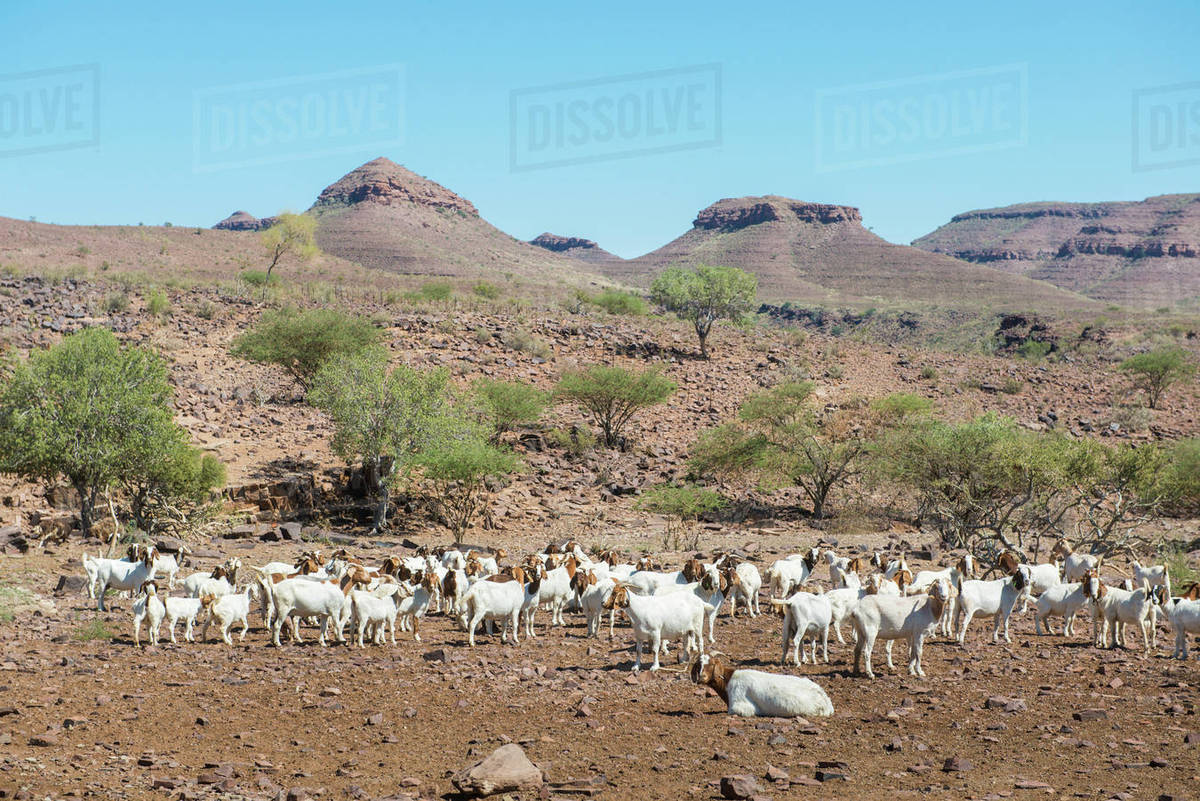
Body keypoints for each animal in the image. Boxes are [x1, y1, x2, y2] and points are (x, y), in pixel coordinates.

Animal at [690, 653, 834, 718]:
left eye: (712, 665)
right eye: (699, 665)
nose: (702, 677)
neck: (729, 680)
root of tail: (826, 701)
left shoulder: (740, 706)